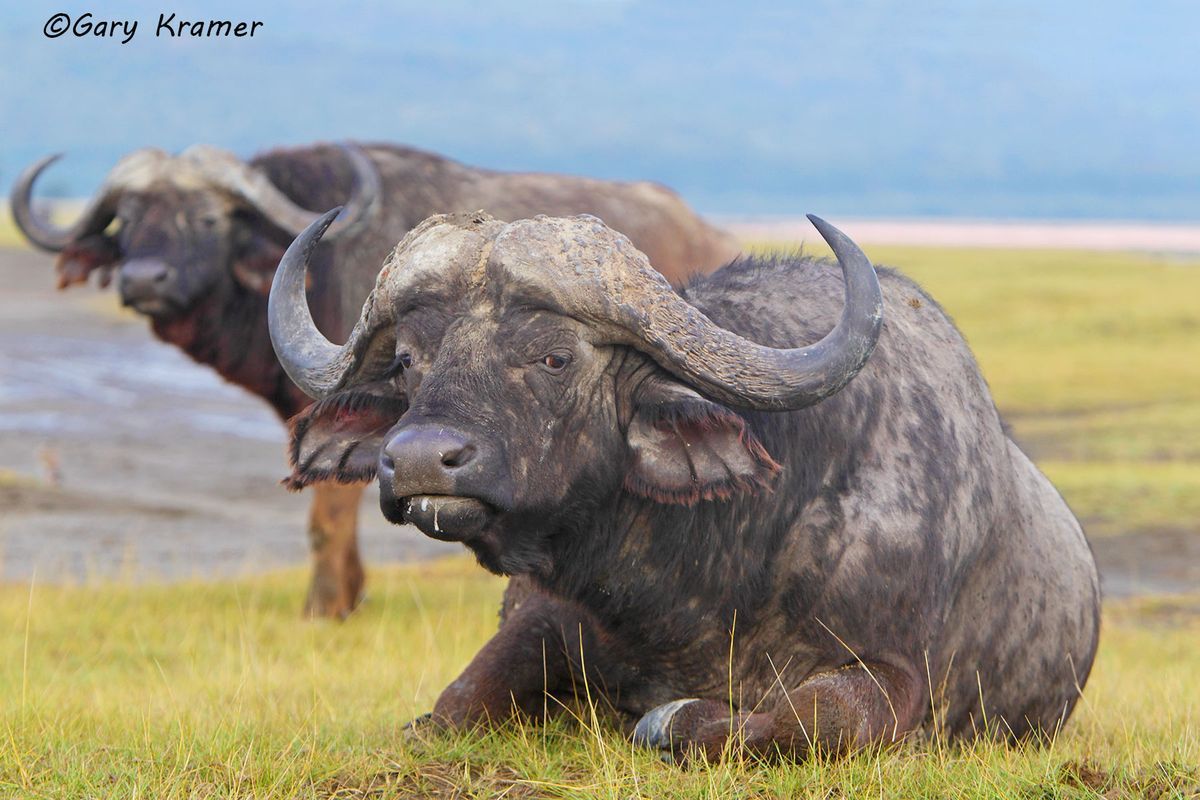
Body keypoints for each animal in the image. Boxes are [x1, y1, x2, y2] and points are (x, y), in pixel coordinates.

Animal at [10, 142, 741, 618]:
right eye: (128, 218)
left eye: (208, 218)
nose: (143, 280)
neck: (319, 268)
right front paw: (350, 594)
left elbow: (327, 518)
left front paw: (326, 606)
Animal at [268, 208, 1100, 758]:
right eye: (410, 360)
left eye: (553, 357)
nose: (415, 458)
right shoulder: (543, 616)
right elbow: (450, 707)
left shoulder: (894, 674)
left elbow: (808, 722)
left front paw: (667, 721)